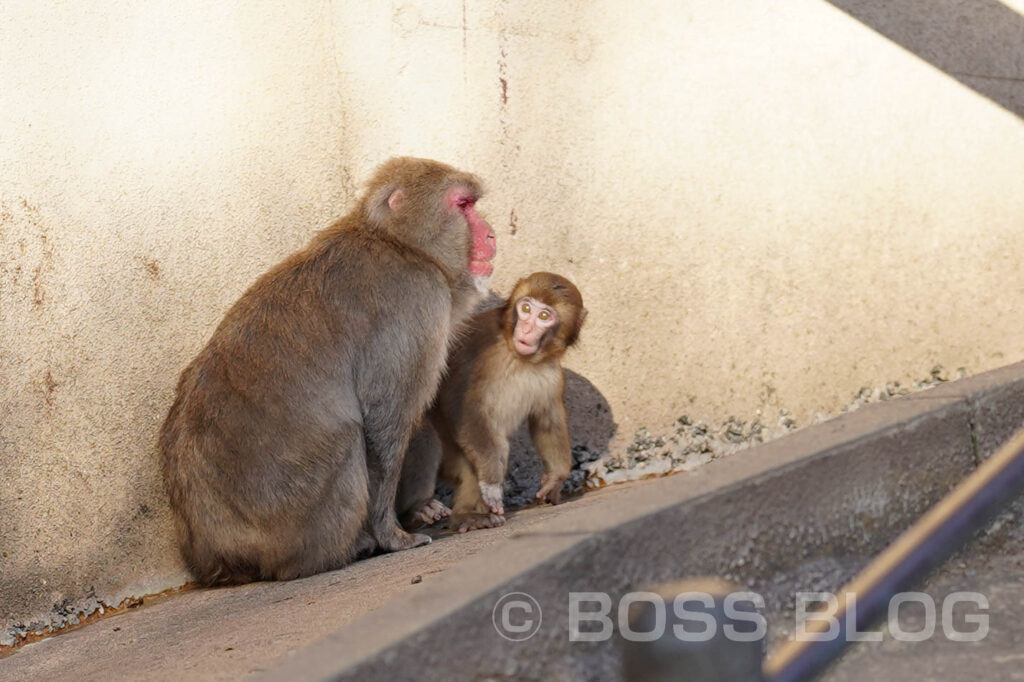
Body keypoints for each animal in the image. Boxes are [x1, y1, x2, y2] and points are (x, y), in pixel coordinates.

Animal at [157, 156, 497, 581]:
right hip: (296, 518)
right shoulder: (416, 301)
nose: (491, 234)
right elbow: (384, 422)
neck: (402, 245)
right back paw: (344, 550)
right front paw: (393, 535)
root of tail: (212, 553)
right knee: (350, 437)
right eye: (464, 205)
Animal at [401, 270, 593, 532]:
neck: (518, 356)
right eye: (526, 308)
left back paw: (467, 516)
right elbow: (462, 404)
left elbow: (547, 420)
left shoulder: (552, 375)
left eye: (544, 315)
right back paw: (419, 509)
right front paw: (492, 482)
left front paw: (556, 477)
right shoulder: (480, 342)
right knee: (430, 434)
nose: (526, 329)